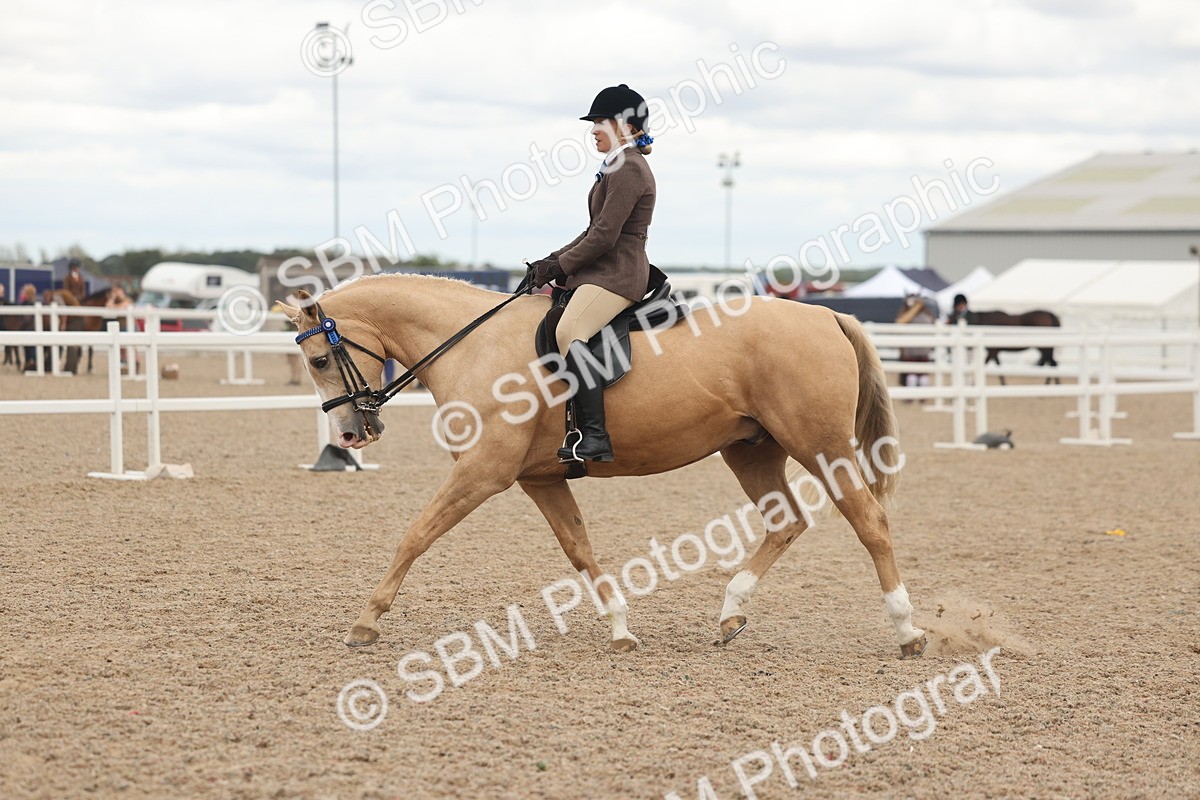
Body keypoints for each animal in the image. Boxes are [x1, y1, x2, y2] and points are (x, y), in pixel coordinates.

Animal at [276, 274, 928, 659]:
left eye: (319, 359)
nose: (351, 434)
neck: (473, 346)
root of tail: (824, 316)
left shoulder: (482, 473)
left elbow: (415, 535)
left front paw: (366, 621)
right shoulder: (539, 479)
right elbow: (579, 550)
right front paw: (619, 627)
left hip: (821, 445)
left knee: (870, 522)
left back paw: (908, 631)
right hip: (751, 449)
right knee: (786, 521)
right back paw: (729, 614)